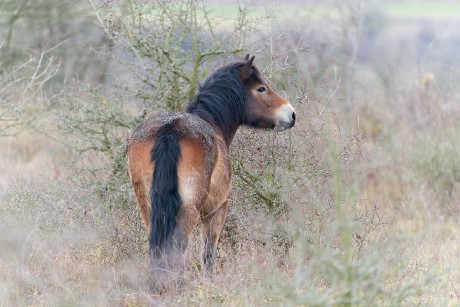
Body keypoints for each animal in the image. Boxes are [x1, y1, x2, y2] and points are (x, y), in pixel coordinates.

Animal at [127, 55, 296, 294]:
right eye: (261, 88)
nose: (291, 114)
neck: (212, 122)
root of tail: (170, 129)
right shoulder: (217, 211)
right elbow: (209, 252)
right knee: (178, 245)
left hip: (148, 206)